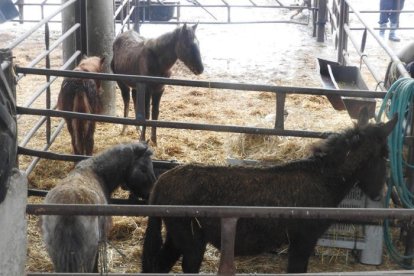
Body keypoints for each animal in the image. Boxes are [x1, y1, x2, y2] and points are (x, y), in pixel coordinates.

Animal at [142, 111, 398, 274]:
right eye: (385, 156)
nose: (381, 193)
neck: (322, 179)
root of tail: (163, 180)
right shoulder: (303, 240)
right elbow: (296, 270)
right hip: (192, 241)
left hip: (177, 237)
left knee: (159, 266)